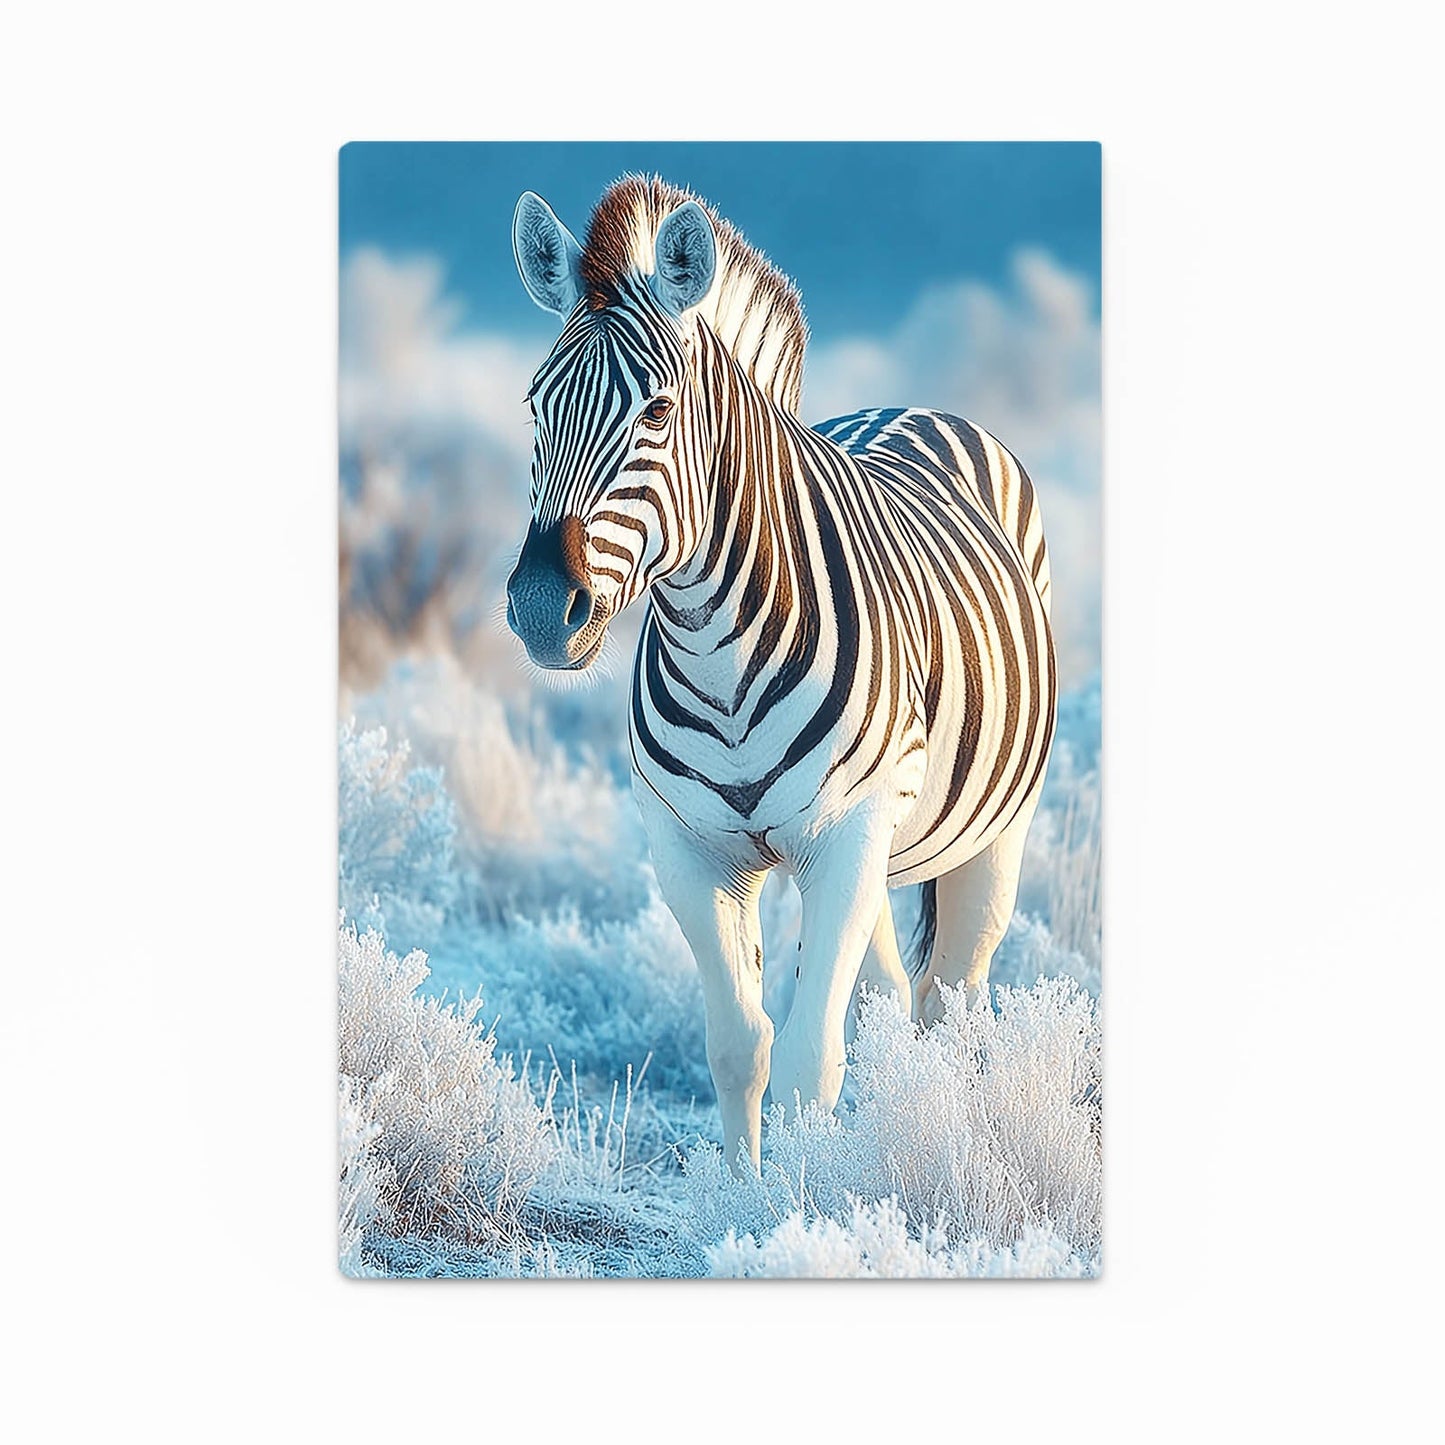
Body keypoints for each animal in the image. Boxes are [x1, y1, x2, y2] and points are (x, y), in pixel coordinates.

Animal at [506, 176, 1056, 1175]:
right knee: (885, 999)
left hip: (990, 830)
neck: (718, 654)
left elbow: (809, 1058)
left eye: (657, 412)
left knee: (952, 998)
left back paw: (946, 1134)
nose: (536, 604)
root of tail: (913, 405)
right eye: (534, 405)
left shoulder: (845, 831)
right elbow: (742, 1045)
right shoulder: (690, 851)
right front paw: (745, 1190)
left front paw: (798, 1200)